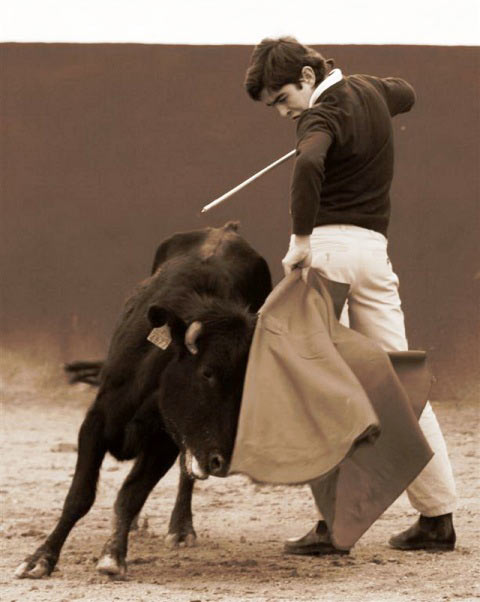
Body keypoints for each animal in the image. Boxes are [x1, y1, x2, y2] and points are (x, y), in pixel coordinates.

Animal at [13, 221, 272, 576]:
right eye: (207, 373)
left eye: (249, 383)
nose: (224, 461)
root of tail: (226, 229)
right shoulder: (96, 422)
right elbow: (79, 497)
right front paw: (40, 559)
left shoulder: (165, 440)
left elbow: (131, 493)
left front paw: (113, 556)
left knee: (183, 472)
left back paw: (180, 528)